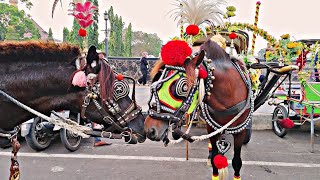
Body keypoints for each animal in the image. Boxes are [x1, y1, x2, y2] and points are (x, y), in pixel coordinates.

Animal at [145, 38, 252, 179]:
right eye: (155, 82)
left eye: (183, 87)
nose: (149, 129)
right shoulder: (211, 128)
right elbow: (215, 159)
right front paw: (212, 159)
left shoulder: (240, 132)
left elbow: (237, 162)